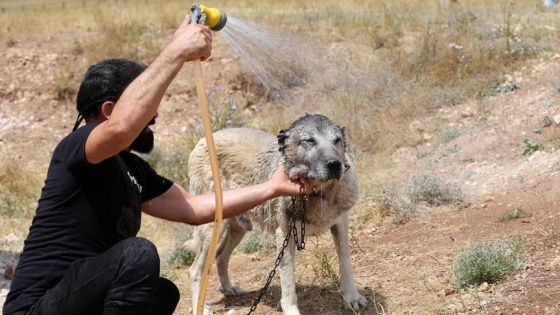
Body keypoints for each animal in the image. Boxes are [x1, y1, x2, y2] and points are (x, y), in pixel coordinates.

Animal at [186, 114, 366, 315]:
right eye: (309, 141)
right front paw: (291, 311)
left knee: (220, 256)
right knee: (194, 271)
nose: (335, 164)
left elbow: (346, 262)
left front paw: (352, 298)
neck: (317, 193)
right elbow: (287, 283)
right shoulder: (285, 235)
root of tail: (203, 140)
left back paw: (229, 288)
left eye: (337, 140)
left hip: (238, 229)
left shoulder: (340, 224)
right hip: (212, 230)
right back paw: (201, 308)